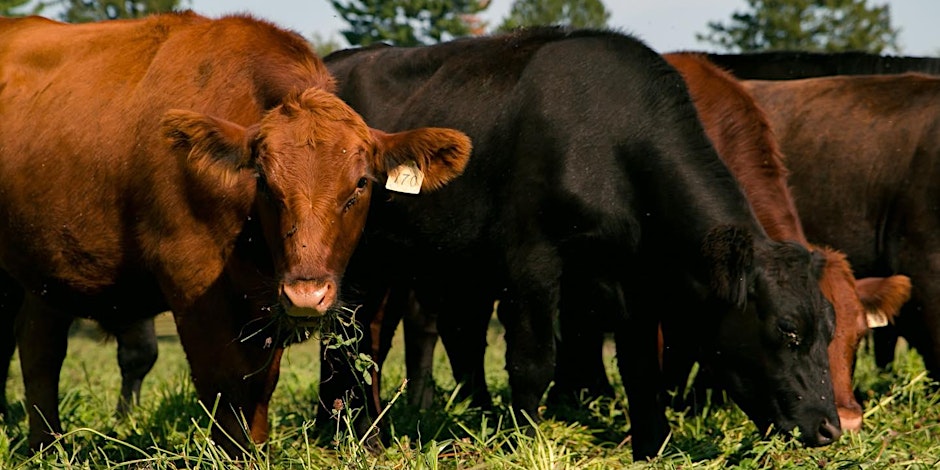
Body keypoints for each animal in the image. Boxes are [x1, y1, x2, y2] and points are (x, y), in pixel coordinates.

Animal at [0, 13, 471, 454]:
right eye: (263, 181)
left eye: (360, 184)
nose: (308, 294)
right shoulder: (190, 277)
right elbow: (224, 378)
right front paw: (235, 451)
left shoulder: (269, 300)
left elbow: (261, 380)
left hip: (44, 269)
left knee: (39, 346)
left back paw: (45, 442)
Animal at [322, 28, 842, 460]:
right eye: (788, 329)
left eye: (830, 328)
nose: (830, 428)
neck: (609, 145)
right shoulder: (532, 261)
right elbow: (533, 361)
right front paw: (524, 442)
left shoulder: (636, 278)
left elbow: (640, 365)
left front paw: (653, 446)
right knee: (350, 338)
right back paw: (359, 432)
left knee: (380, 336)